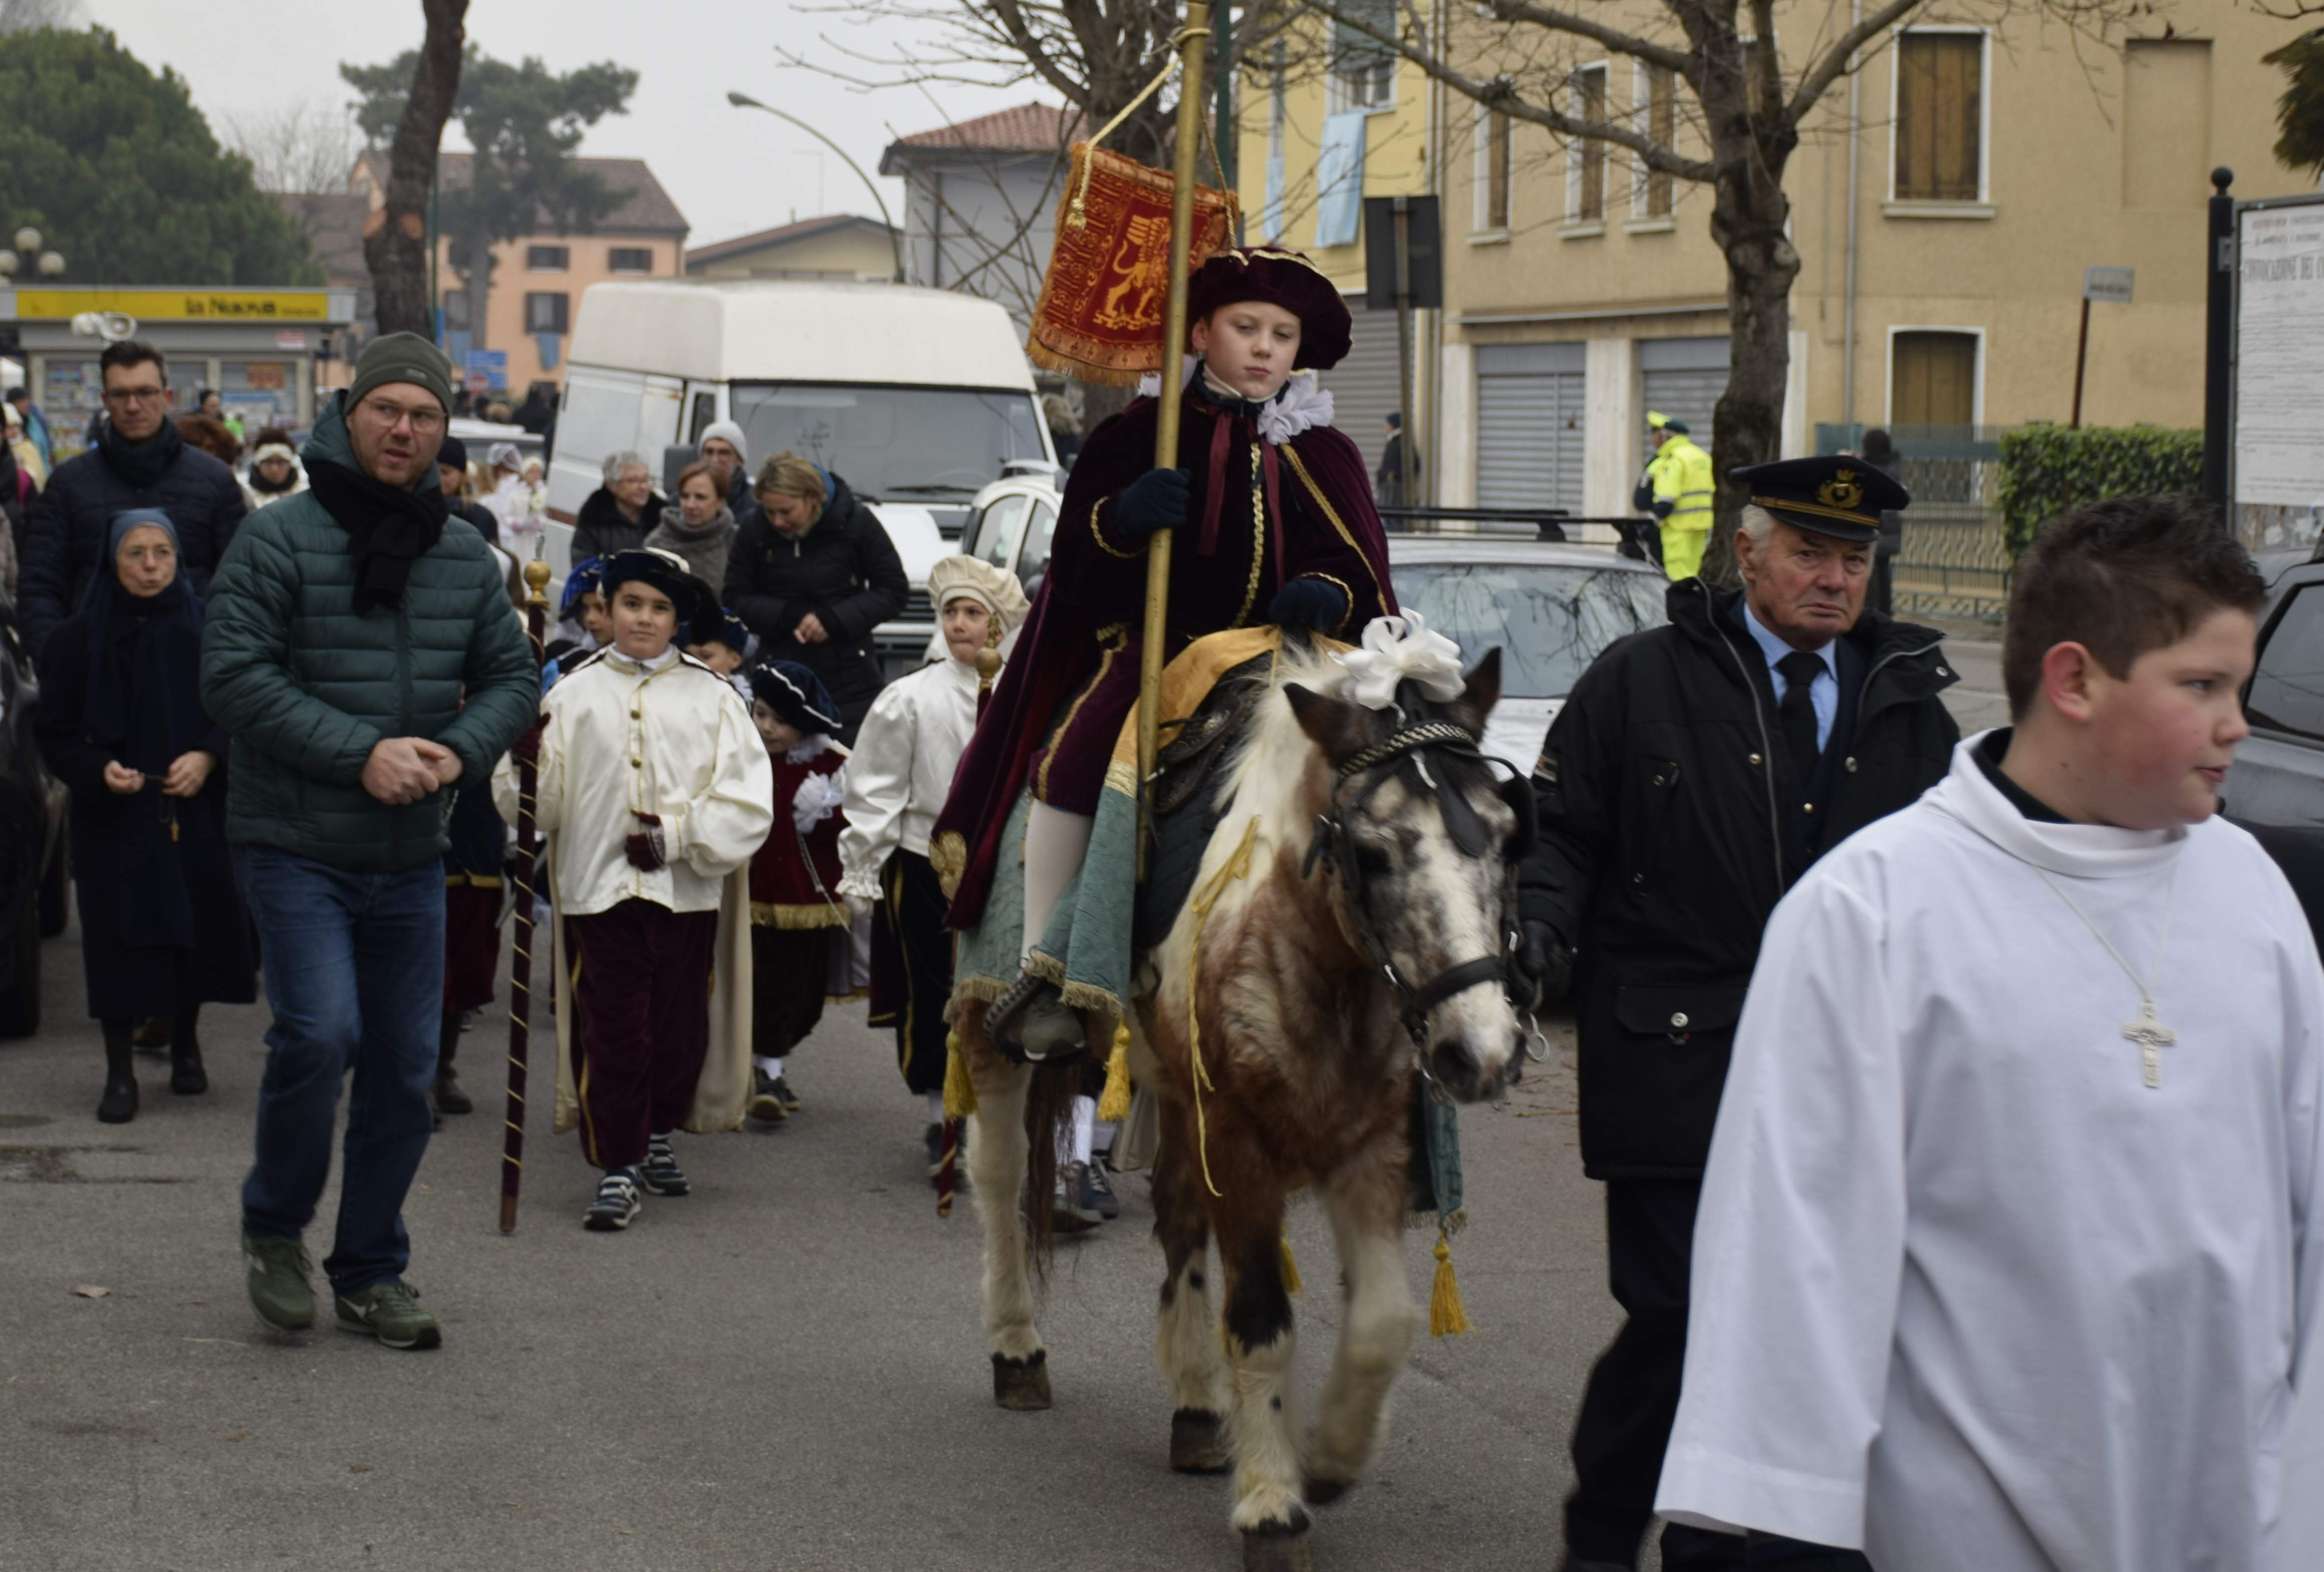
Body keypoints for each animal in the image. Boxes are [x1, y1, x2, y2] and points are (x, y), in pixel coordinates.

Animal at [954, 639, 1527, 1572]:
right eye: (1371, 854)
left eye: (1508, 840)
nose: (1476, 1051)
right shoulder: (1240, 1142)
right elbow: (1260, 1319)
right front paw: (1271, 1506)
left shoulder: (1368, 1143)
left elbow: (1382, 1322)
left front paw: (1326, 1458)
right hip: (991, 1033)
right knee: (999, 1179)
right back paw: (1015, 1349)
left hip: (1178, 1095)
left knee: (1177, 1216)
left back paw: (1196, 1408)